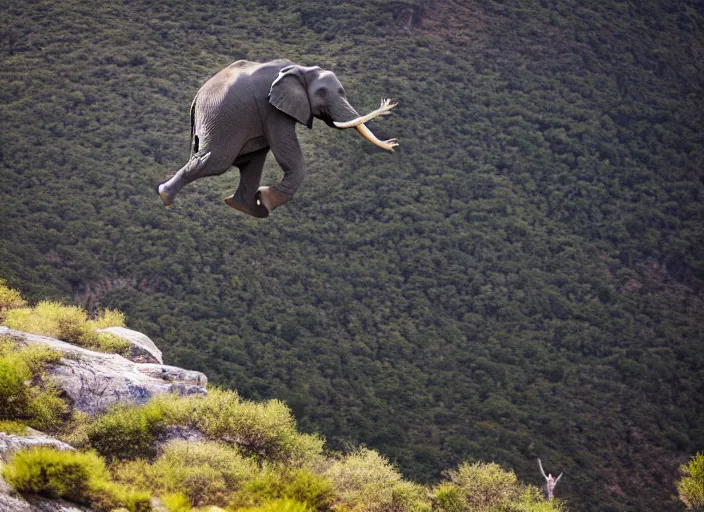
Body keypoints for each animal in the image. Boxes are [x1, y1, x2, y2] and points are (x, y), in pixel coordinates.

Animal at [158, 58, 396, 218]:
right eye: (321, 92)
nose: (394, 145)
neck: (300, 69)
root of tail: (197, 97)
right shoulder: (272, 108)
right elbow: (287, 151)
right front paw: (266, 197)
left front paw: (262, 198)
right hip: (220, 119)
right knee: (216, 162)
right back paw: (165, 197)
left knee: (251, 161)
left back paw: (244, 207)